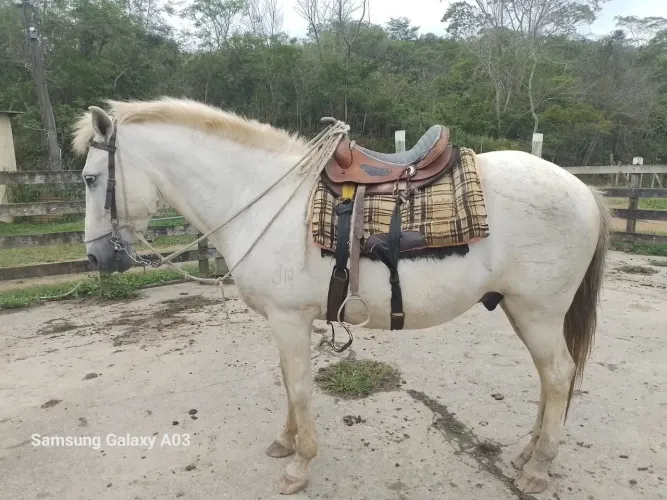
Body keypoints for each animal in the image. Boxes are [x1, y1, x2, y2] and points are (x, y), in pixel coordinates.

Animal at [74, 98, 611, 495]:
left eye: (90, 178)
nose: (97, 258)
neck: (262, 198)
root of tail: (582, 189)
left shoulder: (289, 319)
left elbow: (299, 387)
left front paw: (298, 467)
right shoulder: (286, 322)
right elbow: (287, 383)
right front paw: (285, 442)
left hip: (538, 312)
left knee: (558, 376)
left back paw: (537, 469)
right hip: (524, 311)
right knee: (549, 379)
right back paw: (526, 453)